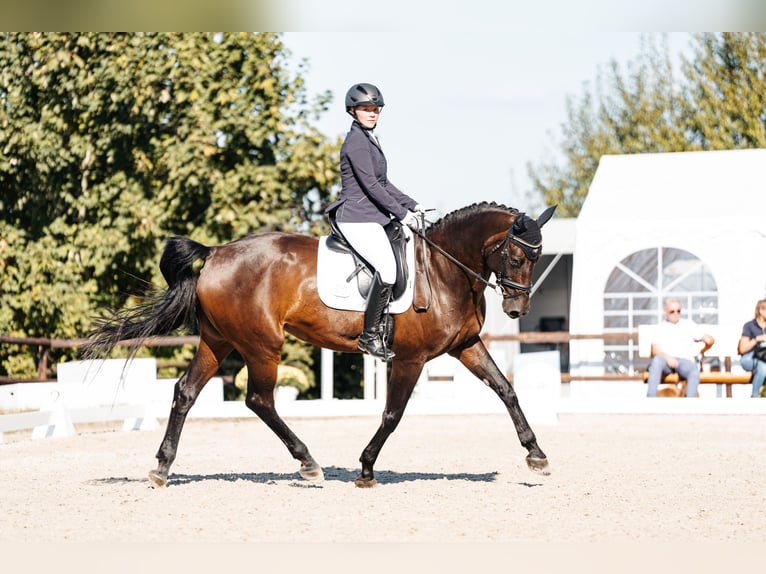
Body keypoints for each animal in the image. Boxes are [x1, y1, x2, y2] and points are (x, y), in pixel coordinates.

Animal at [84, 202, 560, 490]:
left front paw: (536, 455)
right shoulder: (411, 358)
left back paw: (162, 467)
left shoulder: (466, 345)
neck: (445, 269)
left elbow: (506, 390)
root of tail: (216, 253)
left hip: (218, 341)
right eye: (517, 257)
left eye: (537, 258)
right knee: (260, 400)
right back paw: (309, 463)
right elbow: (393, 414)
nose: (517, 309)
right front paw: (366, 468)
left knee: (186, 393)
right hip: (262, 344)